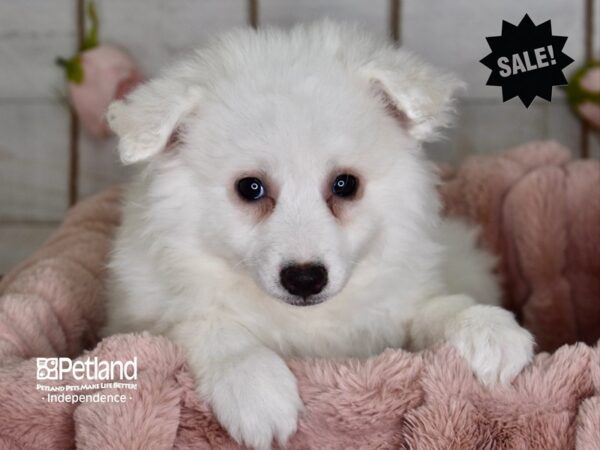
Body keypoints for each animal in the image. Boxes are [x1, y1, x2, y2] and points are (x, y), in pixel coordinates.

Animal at [104, 21, 536, 450]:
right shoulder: (137, 320)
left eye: (345, 184)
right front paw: (254, 389)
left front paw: (486, 328)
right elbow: (203, 326)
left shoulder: (397, 309)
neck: (306, 321)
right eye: (250, 188)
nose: (305, 278)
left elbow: (435, 307)